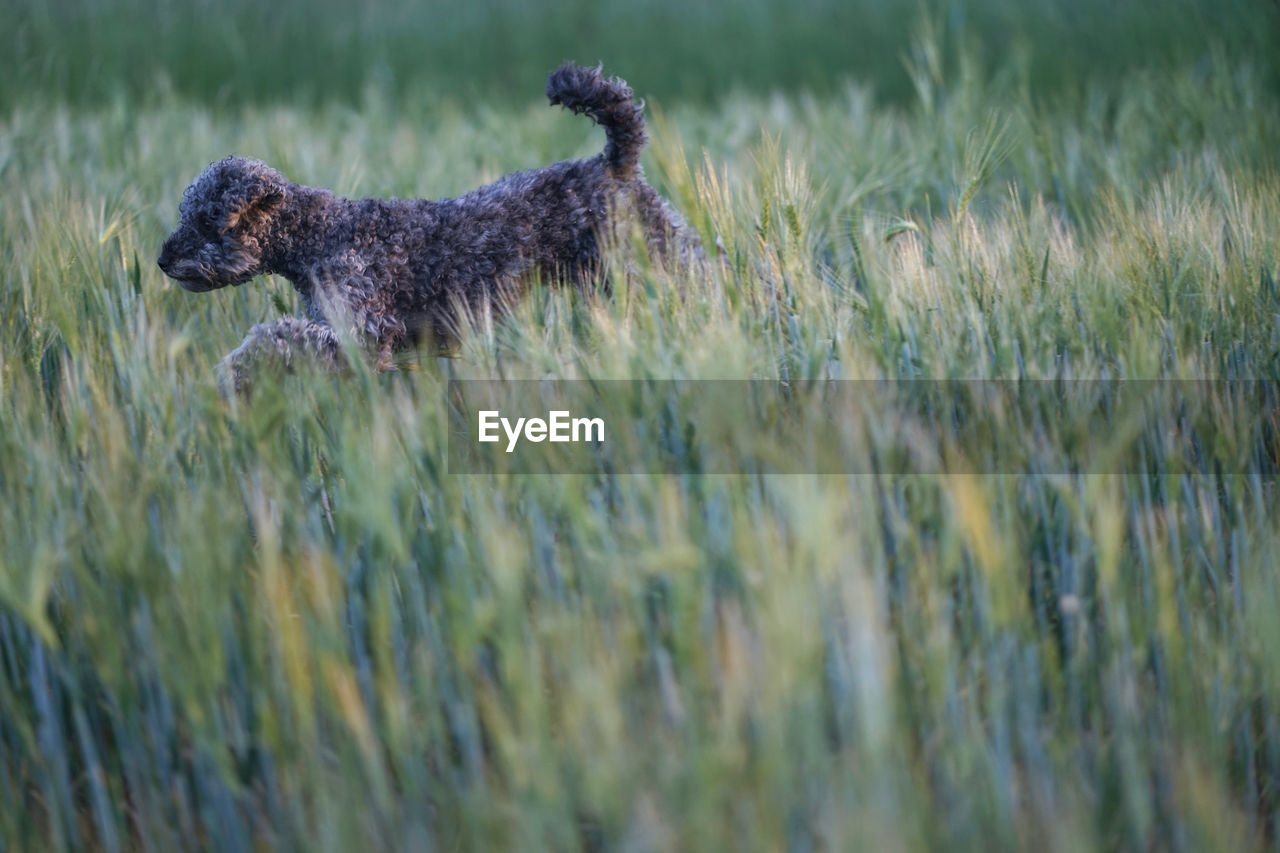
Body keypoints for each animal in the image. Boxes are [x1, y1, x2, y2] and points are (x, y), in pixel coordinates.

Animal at [160, 63, 706, 391]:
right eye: (187, 213)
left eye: (208, 221)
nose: (163, 259)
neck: (317, 236)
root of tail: (615, 162)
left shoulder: (363, 333)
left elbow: (277, 335)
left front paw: (234, 370)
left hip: (650, 267)